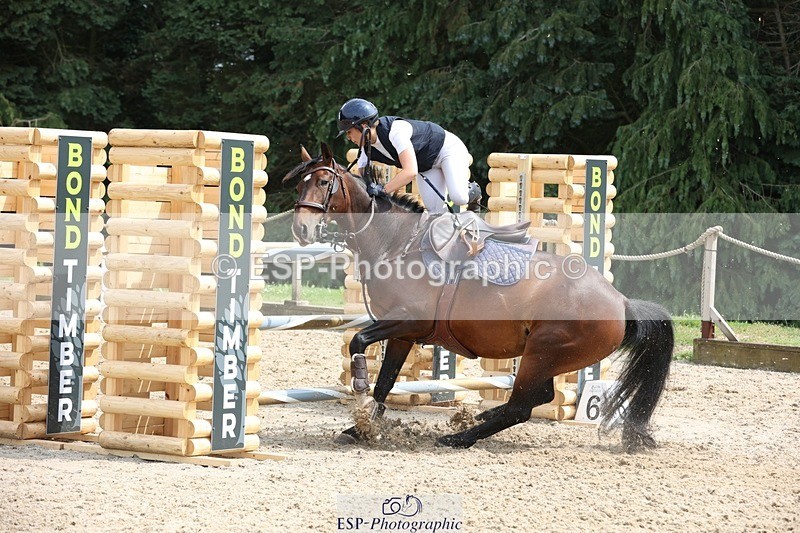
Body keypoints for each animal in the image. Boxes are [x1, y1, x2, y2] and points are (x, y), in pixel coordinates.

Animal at [282, 143, 674, 452]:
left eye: (323, 182)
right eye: (301, 183)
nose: (301, 229)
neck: (394, 242)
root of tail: (621, 302)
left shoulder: (409, 320)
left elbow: (359, 344)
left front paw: (361, 394)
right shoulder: (403, 332)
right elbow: (386, 381)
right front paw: (363, 427)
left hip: (543, 352)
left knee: (522, 406)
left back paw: (459, 437)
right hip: (546, 357)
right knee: (535, 399)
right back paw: (478, 419)